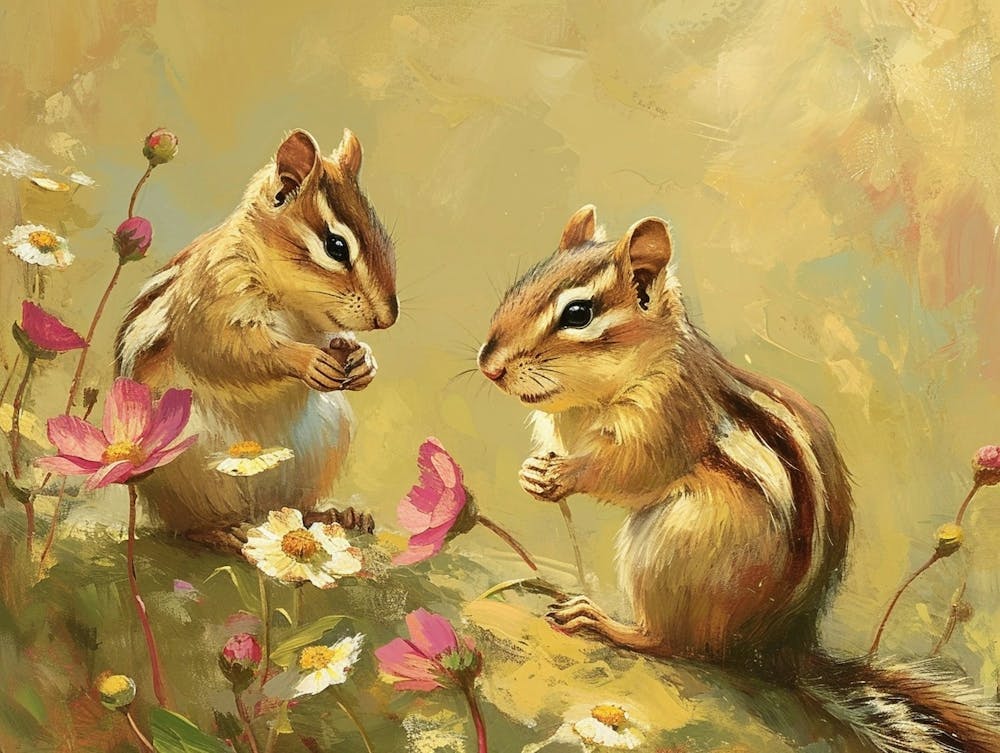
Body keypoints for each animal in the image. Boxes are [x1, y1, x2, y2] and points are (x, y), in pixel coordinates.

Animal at [115, 129, 395, 543]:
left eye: (386, 240)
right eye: (336, 247)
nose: (388, 317)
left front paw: (364, 361)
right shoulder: (212, 300)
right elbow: (231, 350)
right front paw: (307, 360)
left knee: (292, 509)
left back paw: (337, 515)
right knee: (185, 525)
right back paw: (220, 532)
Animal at [478, 204, 1000, 753]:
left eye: (578, 314)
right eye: (518, 287)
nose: (488, 366)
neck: (591, 398)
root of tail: (778, 651)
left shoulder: (670, 419)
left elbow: (630, 471)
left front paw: (564, 475)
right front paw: (533, 473)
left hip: (672, 547)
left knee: (680, 646)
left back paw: (602, 622)